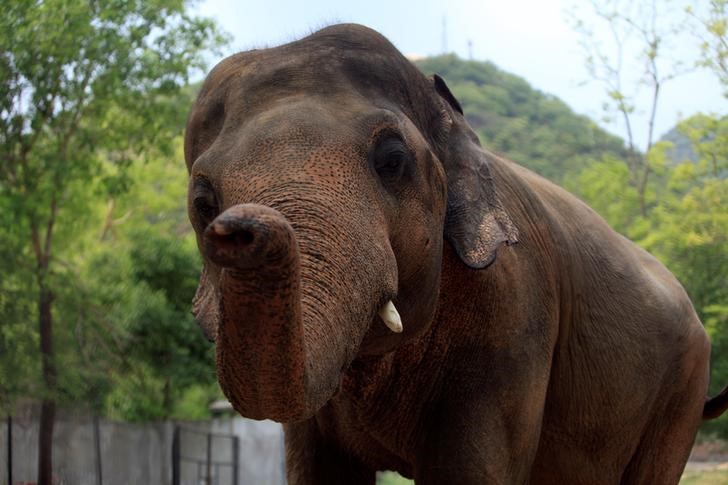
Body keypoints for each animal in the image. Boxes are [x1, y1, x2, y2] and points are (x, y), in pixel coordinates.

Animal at [183, 23, 728, 484]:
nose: (240, 227)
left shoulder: (515, 314)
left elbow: (470, 469)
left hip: (682, 391)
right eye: (203, 202)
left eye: (392, 160)